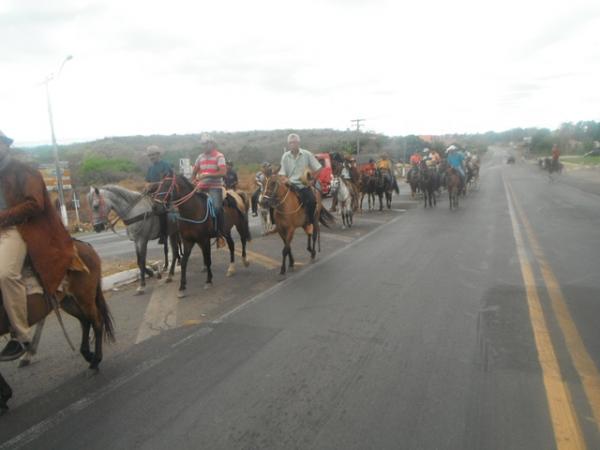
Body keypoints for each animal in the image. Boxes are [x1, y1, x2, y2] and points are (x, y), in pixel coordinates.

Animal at [0, 241, 115, 414]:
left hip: (84, 297)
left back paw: (94, 362)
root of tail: (84, 245)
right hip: (67, 300)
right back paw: (87, 354)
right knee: (85, 321)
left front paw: (3, 398)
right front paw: (4, 397)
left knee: (96, 322)